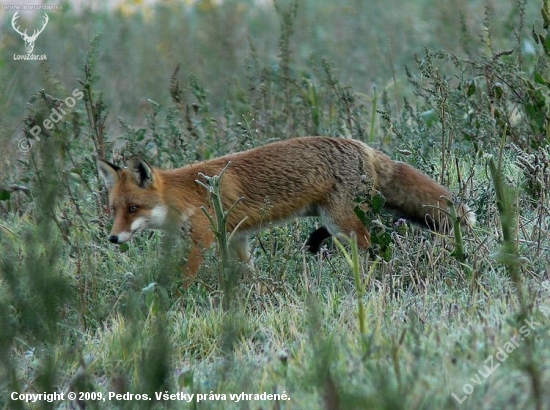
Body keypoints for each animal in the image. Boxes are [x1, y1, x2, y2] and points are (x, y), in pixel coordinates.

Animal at [97, 138, 476, 282]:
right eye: (114, 210)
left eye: (134, 208)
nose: (113, 239)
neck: (185, 195)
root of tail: (363, 145)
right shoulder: (238, 240)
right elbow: (250, 273)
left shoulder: (203, 240)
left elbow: (187, 277)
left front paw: (176, 298)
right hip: (334, 219)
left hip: (343, 225)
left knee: (373, 251)